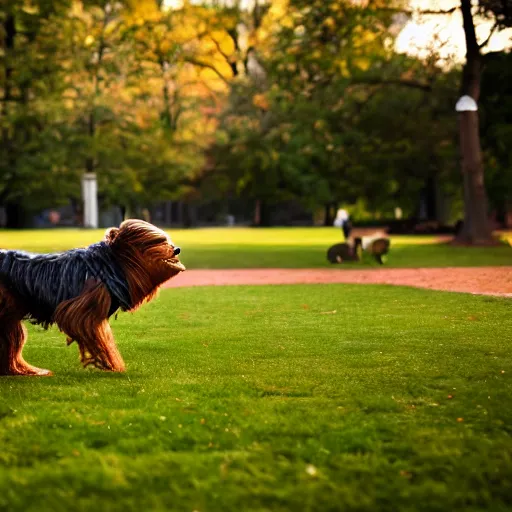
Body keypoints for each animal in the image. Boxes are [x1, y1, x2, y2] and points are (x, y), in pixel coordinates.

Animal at [0, 220, 186, 376]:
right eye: (155, 242)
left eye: (165, 240)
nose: (176, 249)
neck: (109, 264)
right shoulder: (82, 308)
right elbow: (97, 336)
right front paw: (111, 364)